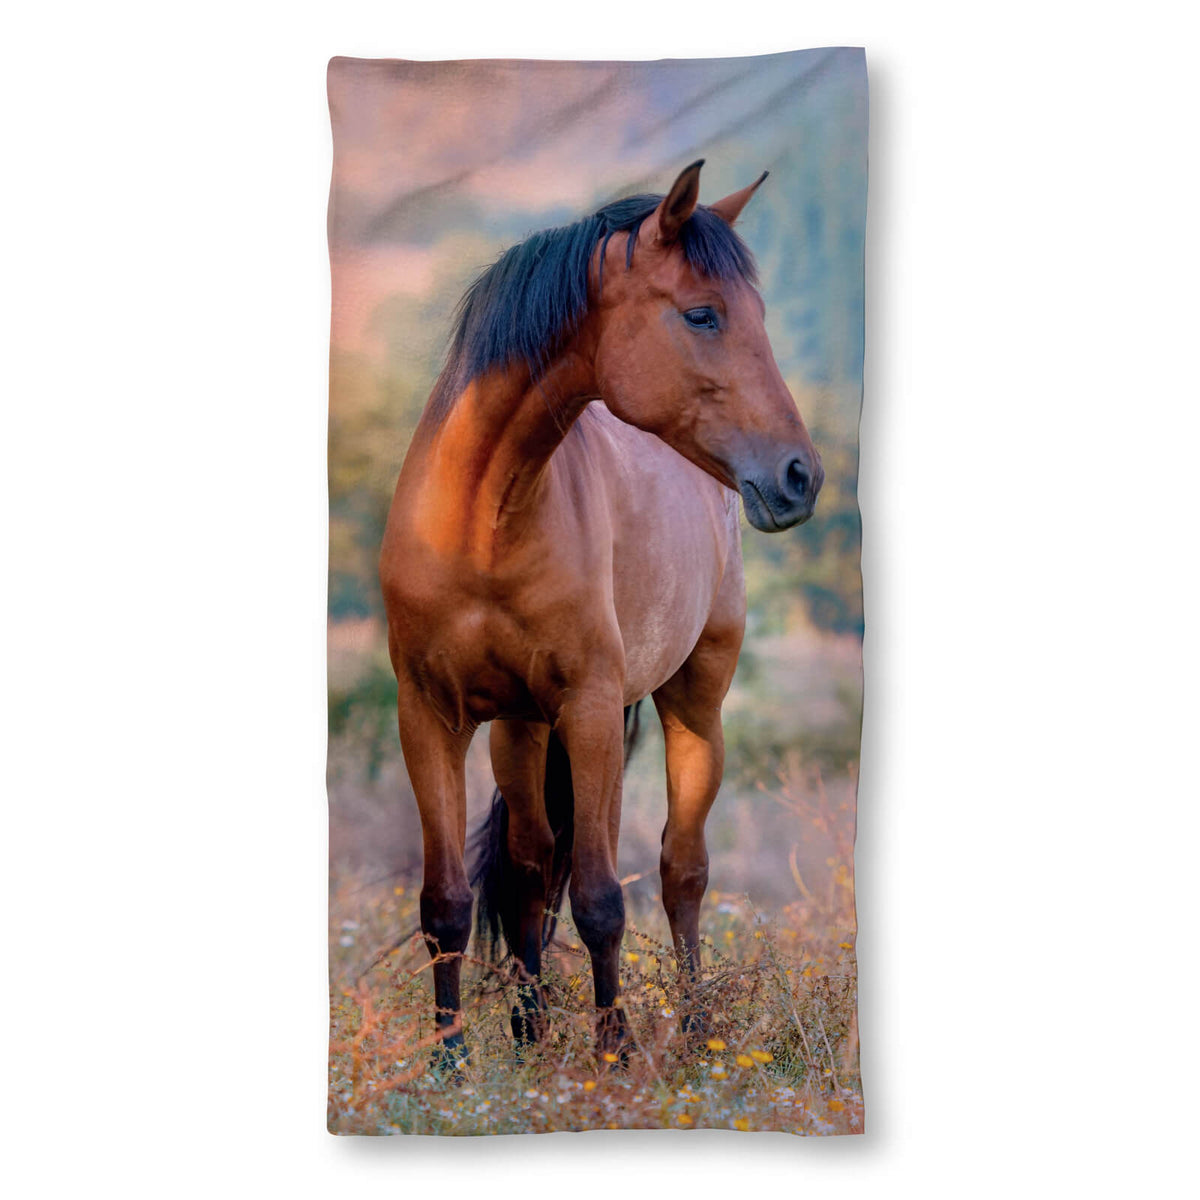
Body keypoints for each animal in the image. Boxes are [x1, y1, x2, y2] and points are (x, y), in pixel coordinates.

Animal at [379, 160, 823, 1064]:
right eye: (701, 313)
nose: (800, 476)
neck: (483, 520)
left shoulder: (587, 709)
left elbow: (600, 901)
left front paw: (611, 1057)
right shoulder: (429, 715)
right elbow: (446, 902)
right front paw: (449, 1065)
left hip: (691, 703)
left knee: (680, 870)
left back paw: (693, 1035)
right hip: (519, 730)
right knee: (527, 868)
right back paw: (528, 1034)